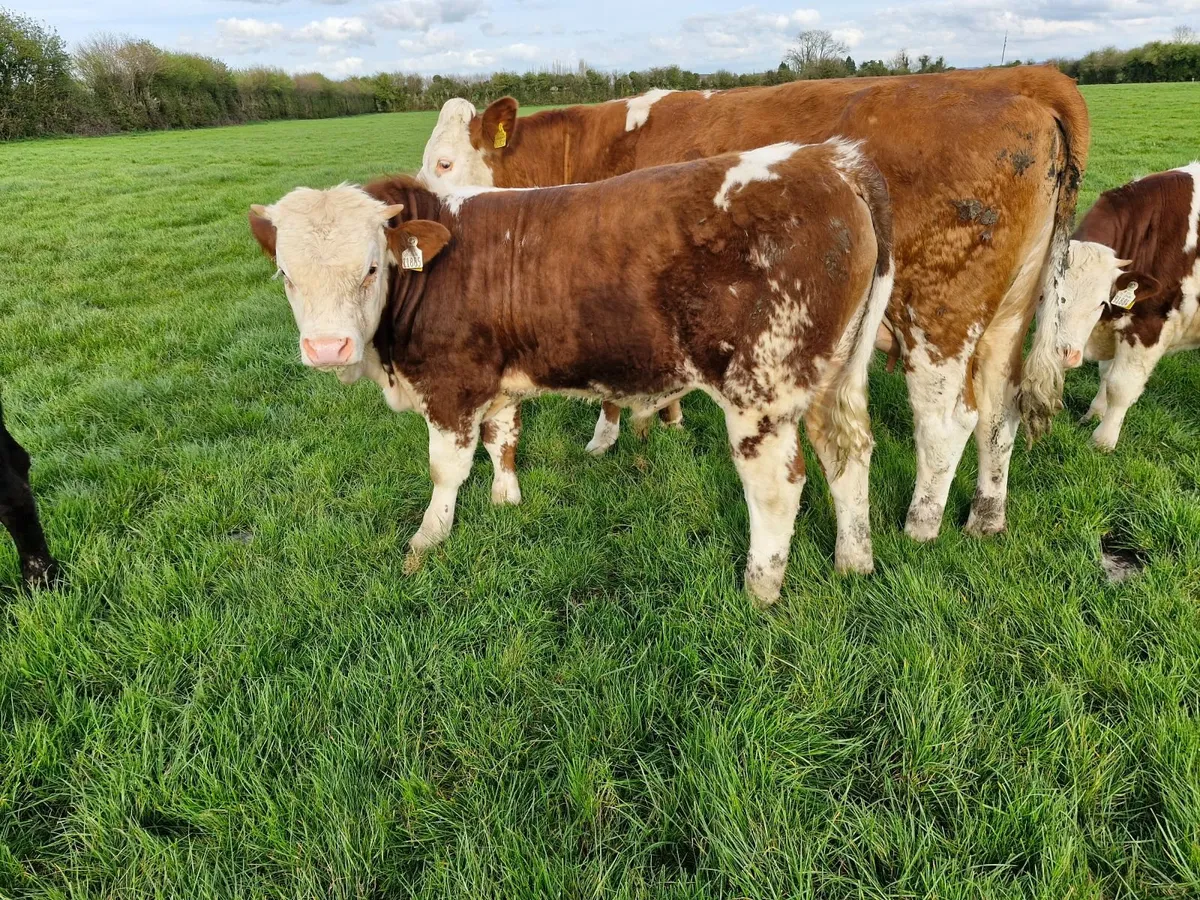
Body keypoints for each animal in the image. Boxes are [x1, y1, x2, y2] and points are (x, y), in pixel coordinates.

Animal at [249, 140, 894, 604]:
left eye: (370, 267)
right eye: (285, 274)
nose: (327, 347)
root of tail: (828, 160)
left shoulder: (451, 386)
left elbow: (445, 470)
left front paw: (426, 542)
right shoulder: (497, 380)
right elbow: (502, 438)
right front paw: (506, 500)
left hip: (761, 389)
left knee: (777, 486)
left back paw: (760, 590)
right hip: (833, 378)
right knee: (847, 453)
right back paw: (853, 562)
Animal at [417, 65, 1090, 542]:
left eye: (445, 162)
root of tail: (1020, 86)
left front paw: (606, 439)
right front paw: (667, 420)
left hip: (938, 315)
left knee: (946, 420)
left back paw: (920, 525)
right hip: (1008, 317)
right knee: (1001, 414)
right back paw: (986, 515)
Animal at [1057, 163, 1200, 451]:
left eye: (1100, 302)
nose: (1064, 354)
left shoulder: (1149, 327)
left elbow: (1120, 386)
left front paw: (1103, 440)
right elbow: (1105, 374)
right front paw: (1095, 412)